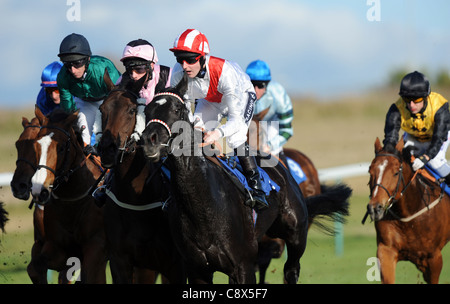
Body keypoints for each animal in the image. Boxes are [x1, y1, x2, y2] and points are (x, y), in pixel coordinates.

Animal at [29, 108, 108, 284]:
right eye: (36, 146)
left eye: (61, 148)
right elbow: (35, 268)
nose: (39, 189)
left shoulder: (96, 248)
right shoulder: (58, 248)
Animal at [96, 73, 185, 282]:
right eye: (102, 109)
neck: (136, 198)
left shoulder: (173, 265)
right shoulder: (120, 262)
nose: (107, 149)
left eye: (131, 110)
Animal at [139, 75, 350, 282]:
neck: (203, 206)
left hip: (296, 234)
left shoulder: (243, 266)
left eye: (176, 109)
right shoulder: (198, 270)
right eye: (147, 110)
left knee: (291, 269)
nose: (150, 140)